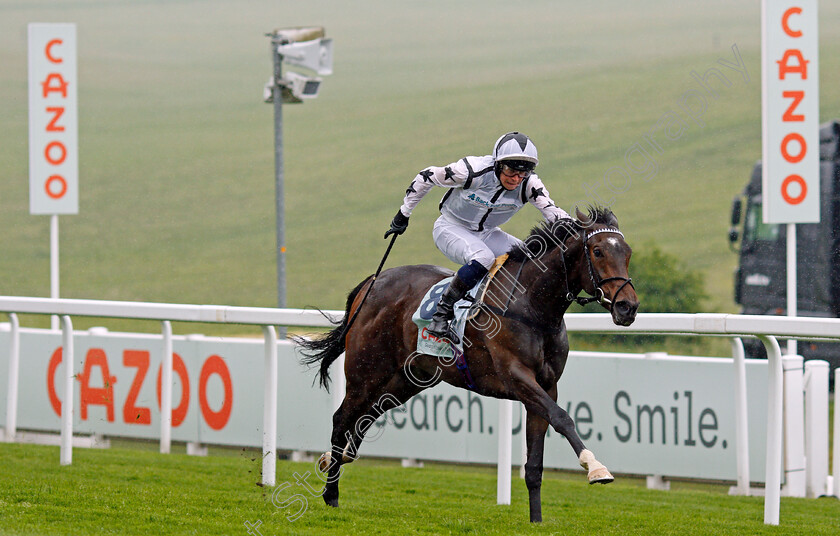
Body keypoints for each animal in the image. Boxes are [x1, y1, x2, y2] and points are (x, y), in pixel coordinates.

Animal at [298, 206, 640, 524]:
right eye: (597, 251)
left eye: (627, 252)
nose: (628, 307)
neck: (532, 306)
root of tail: (372, 281)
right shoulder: (517, 378)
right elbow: (563, 418)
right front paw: (596, 468)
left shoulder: (547, 385)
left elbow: (535, 461)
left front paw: (537, 519)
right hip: (365, 371)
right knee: (342, 419)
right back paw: (331, 493)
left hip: (406, 379)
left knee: (363, 419)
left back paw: (334, 459)